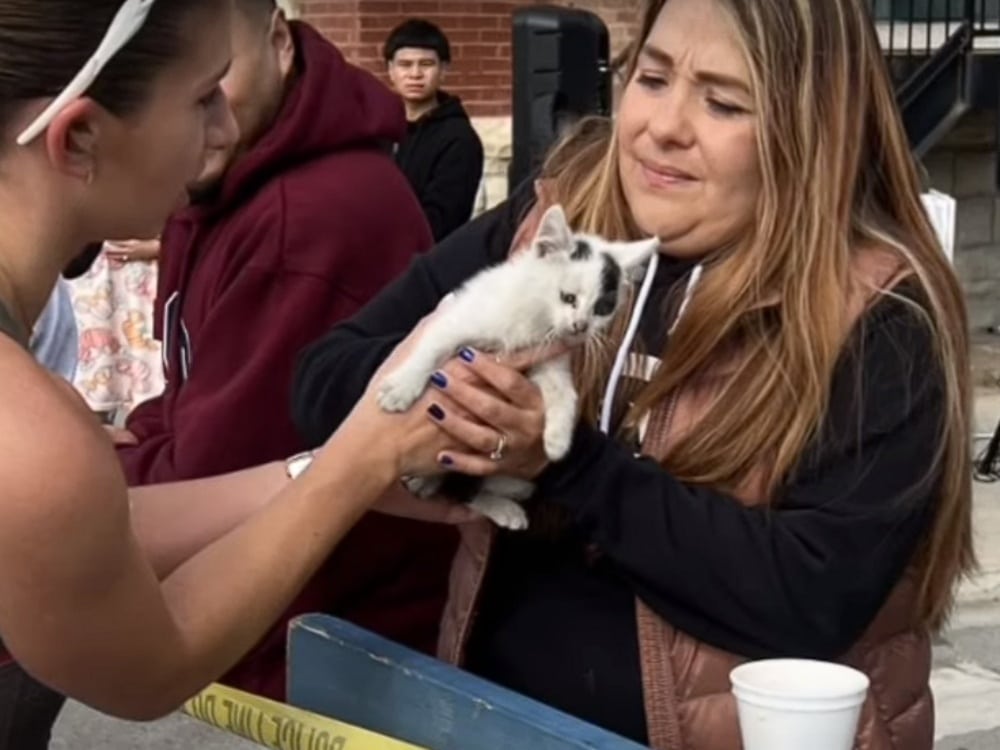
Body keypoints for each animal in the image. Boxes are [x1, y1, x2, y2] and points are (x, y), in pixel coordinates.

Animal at [376, 200, 656, 528]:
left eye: (602, 308)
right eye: (568, 298)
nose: (580, 326)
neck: (537, 319)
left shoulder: (550, 357)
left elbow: (564, 391)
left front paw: (558, 440)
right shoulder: (457, 318)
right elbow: (432, 348)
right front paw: (401, 388)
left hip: (516, 479)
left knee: (471, 487)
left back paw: (497, 506)